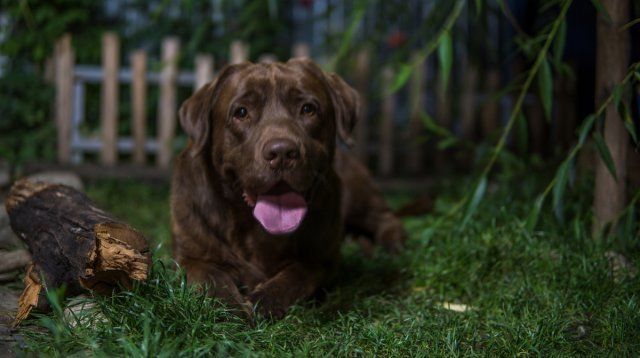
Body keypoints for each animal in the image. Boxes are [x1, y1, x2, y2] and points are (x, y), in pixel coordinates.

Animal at [174, 58, 404, 318]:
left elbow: (297, 276)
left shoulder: (321, 260)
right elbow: (211, 279)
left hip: (357, 197)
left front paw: (265, 300)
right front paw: (230, 310)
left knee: (386, 218)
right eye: (241, 112)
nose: (282, 152)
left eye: (308, 109)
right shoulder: (190, 255)